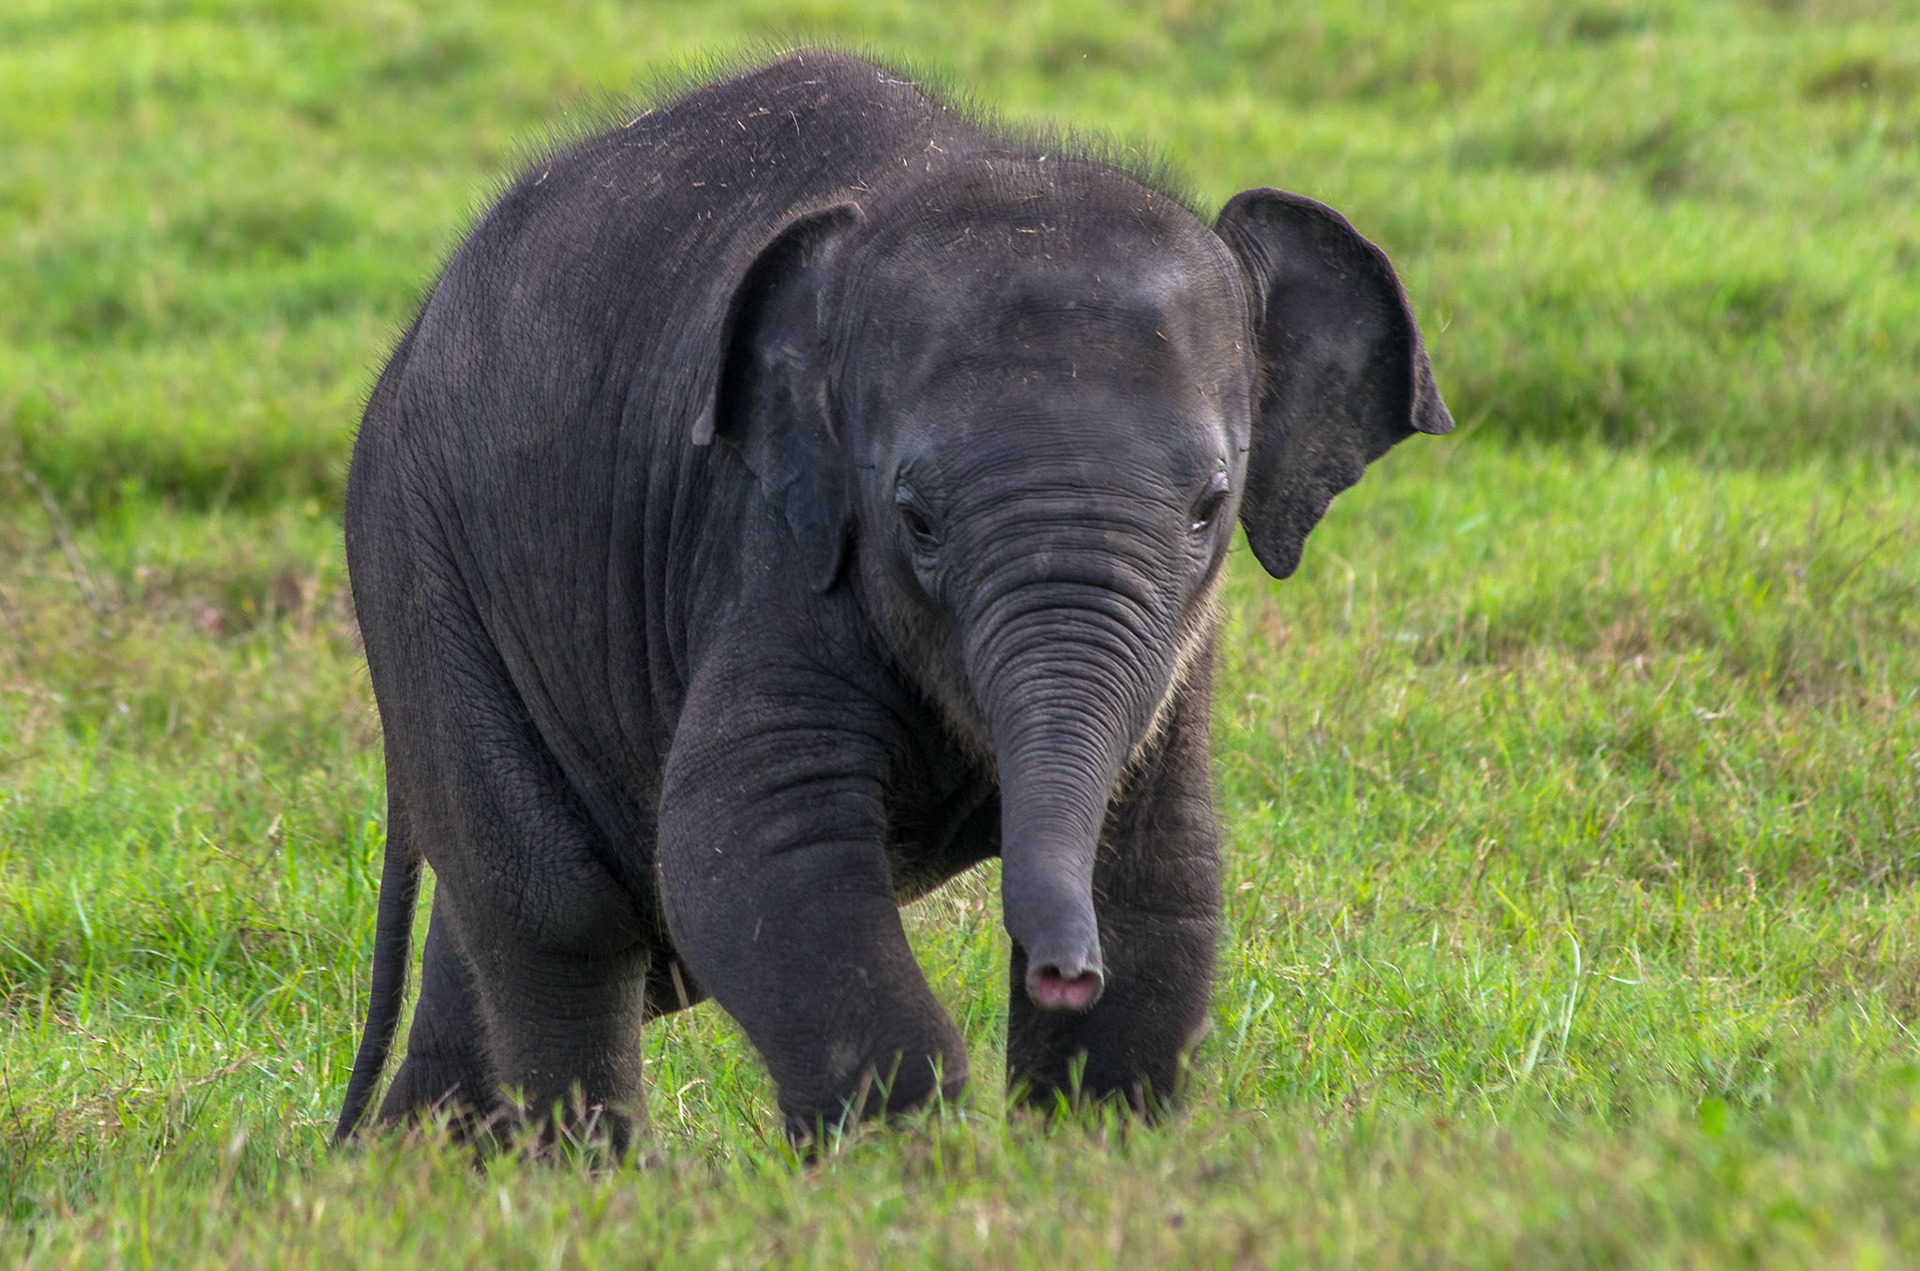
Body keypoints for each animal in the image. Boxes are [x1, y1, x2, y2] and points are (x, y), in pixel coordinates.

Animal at [333, 48, 1451, 1152]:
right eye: (915, 517)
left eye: (1210, 508)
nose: (1064, 971)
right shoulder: (775, 548)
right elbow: (747, 848)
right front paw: (916, 1163)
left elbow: (1161, 860)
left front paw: (1090, 1147)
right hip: (421, 566)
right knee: (562, 906)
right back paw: (578, 1173)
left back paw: (418, 1163)